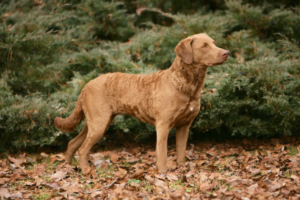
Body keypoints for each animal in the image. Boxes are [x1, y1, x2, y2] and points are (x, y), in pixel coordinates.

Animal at [54, 33, 229, 174]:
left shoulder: (184, 126)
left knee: (73, 143)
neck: (184, 85)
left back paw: (67, 167)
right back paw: (85, 170)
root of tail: (86, 86)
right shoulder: (163, 125)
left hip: (96, 122)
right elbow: (162, 153)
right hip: (99, 123)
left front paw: (181, 170)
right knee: (82, 148)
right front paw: (163, 173)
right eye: (204, 46)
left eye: (214, 43)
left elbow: (181, 152)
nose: (226, 52)